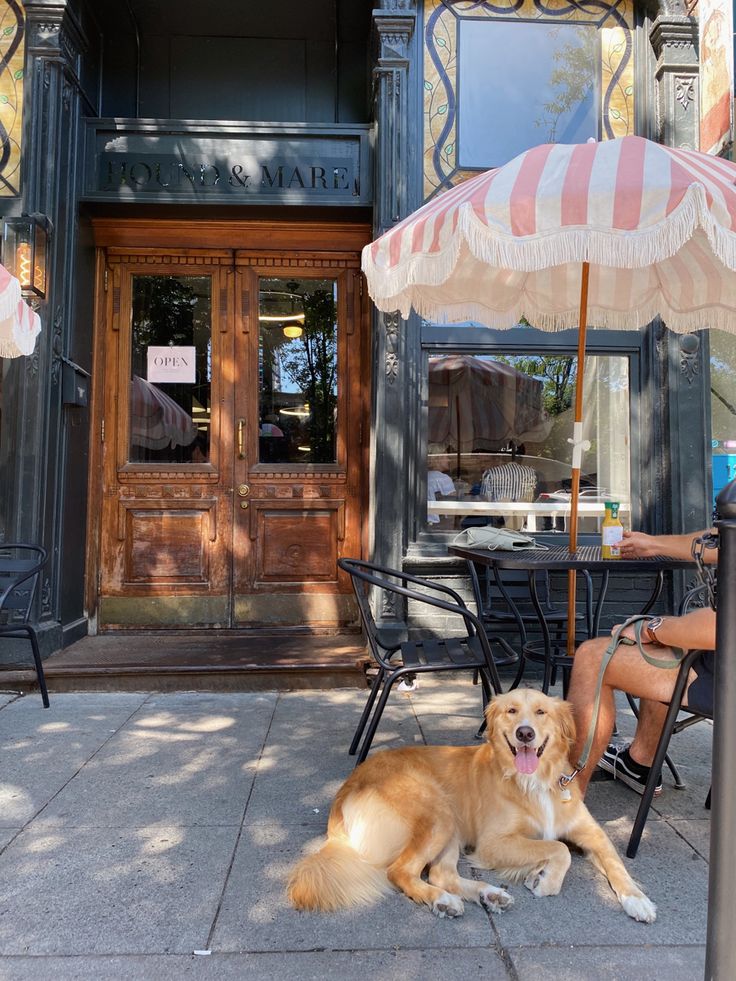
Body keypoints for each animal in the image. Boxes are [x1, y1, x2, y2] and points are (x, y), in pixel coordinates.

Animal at [286, 688, 656, 920]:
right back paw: (443, 901)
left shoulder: (593, 834)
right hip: (438, 813)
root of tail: (346, 788)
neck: (535, 781)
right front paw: (546, 881)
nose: (524, 733)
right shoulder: (493, 843)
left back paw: (486, 894)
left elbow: (615, 863)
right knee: (402, 872)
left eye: (541, 712)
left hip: (450, 825)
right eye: (511, 710)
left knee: (441, 873)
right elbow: (558, 848)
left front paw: (637, 899)